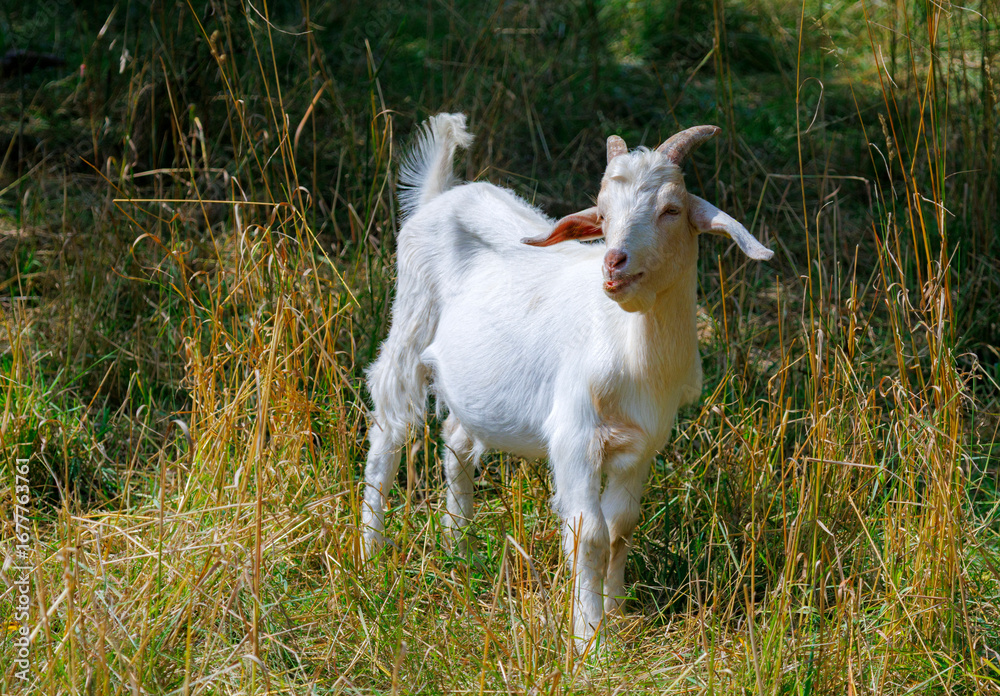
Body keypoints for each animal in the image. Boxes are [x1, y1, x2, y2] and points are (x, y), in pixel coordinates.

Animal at [361, 113, 773, 649]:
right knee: (390, 427)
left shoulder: (643, 443)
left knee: (456, 440)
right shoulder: (576, 436)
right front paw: (590, 638)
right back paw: (370, 552)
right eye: (603, 213)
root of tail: (441, 196)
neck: (631, 345)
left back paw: (458, 545)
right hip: (409, 321)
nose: (613, 262)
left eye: (671, 209)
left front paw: (618, 613)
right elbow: (589, 533)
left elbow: (621, 526)